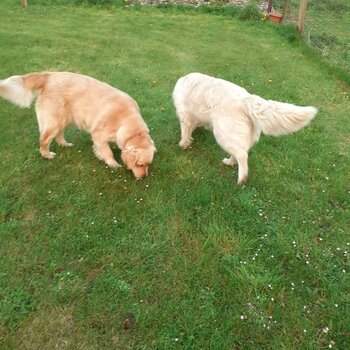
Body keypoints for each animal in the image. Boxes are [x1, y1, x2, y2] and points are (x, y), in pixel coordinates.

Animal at [0, 72, 156, 179]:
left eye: (148, 165)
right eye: (140, 164)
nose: (144, 177)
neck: (125, 120)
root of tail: (49, 75)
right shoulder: (98, 135)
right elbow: (108, 152)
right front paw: (113, 164)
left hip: (64, 119)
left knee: (59, 135)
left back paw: (65, 144)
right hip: (54, 121)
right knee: (44, 140)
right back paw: (47, 155)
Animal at [174, 72, 318, 185]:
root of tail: (247, 99)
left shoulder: (184, 115)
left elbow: (185, 131)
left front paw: (183, 144)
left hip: (223, 134)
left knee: (242, 155)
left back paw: (241, 179)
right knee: (239, 152)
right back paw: (229, 163)